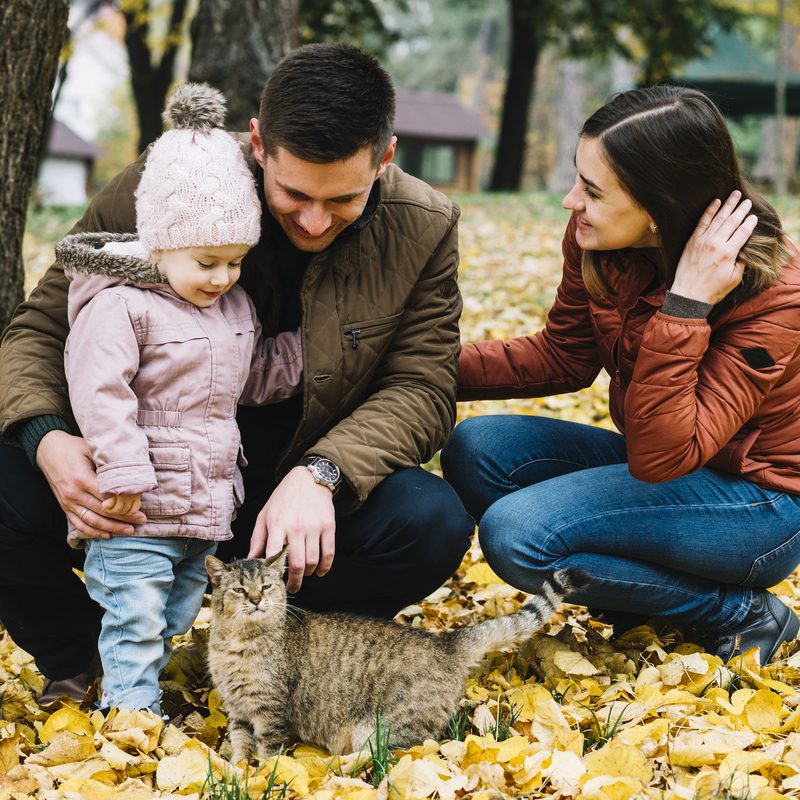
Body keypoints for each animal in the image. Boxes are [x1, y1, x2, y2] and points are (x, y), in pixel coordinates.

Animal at [208, 552, 588, 760]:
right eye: (239, 589)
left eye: (266, 586)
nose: (256, 599)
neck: (235, 644)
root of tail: (446, 644)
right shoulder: (238, 709)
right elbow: (241, 746)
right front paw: (238, 771)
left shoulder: (270, 711)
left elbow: (268, 752)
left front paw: (259, 779)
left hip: (380, 730)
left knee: (396, 756)